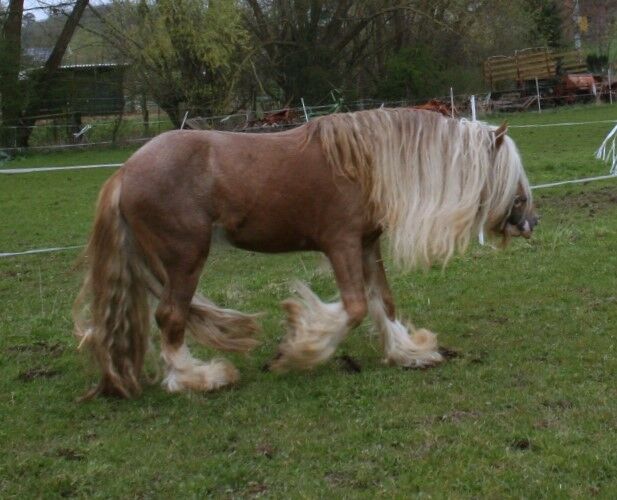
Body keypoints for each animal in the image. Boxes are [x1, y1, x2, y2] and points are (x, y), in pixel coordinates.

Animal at [72, 108, 536, 398]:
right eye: (509, 173)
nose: (530, 220)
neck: (365, 164)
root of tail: (124, 172)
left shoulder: (366, 244)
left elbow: (382, 301)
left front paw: (408, 352)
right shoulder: (341, 243)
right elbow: (354, 307)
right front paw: (299, 348)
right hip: (185, 258)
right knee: (170, 316)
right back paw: (198, 377)